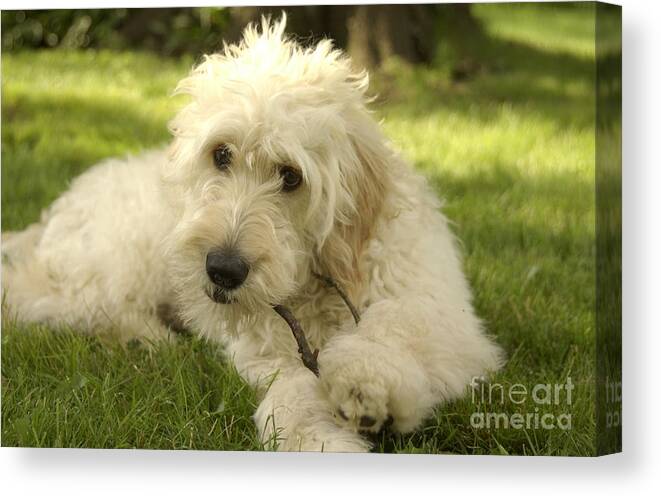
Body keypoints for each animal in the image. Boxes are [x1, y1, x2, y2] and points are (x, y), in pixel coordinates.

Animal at [2, 18, 502, 454]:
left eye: (291, 176)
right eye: (220, 154)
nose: (223, 270)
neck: (315, 284)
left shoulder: (446, 317)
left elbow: (401, 322)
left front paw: (366, 379)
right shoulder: (268, 352)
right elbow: (291, 392)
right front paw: (319, 441)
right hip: (123, 256)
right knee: (66, 303)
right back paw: (148, 339)